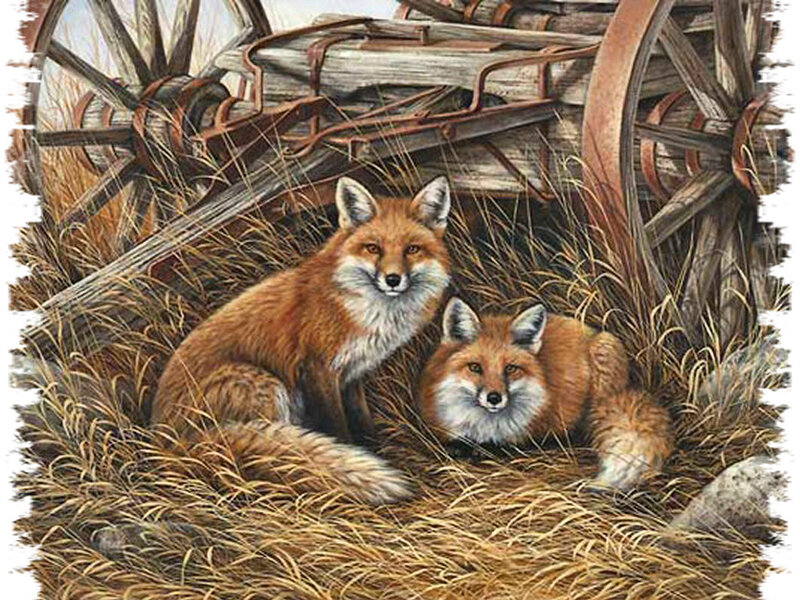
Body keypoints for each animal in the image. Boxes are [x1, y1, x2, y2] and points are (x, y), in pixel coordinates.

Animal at [151, 175, 453, 504]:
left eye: (412, 249)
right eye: (373, 248)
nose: (393, 279)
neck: (365, 310)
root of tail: (165, 441)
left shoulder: (354, 372)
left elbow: (361, 416)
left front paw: (374, 447)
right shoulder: (318, 368)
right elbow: (337, 425)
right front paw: (350, 453)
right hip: (266, 386)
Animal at [417, 297, 673, 492]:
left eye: (510, 369)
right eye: (475, 367)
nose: (494, 398)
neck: (483, 426)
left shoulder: (528, 432)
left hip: (603, 358)